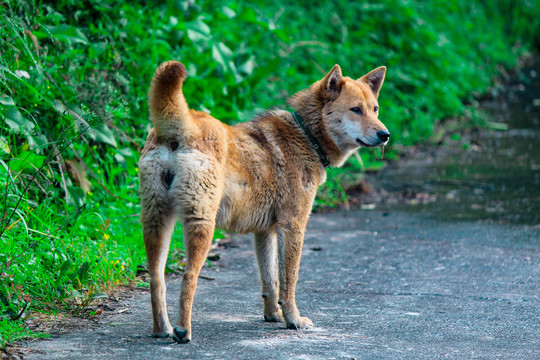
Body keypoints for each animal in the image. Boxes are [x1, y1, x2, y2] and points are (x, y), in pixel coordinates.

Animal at [138, 61, 388, 344]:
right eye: (355, 109)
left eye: (375, 109)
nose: (385, 134)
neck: (307, 135)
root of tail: (183, 127)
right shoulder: (293, 226)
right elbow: (289, 280)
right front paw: (293, 319)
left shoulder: (265, 231)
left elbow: (271, 281)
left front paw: (274, 316)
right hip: (201, 225)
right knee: (188, 277)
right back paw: (182, 331)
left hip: (156, 223)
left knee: (156, 278)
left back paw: (162, 329)